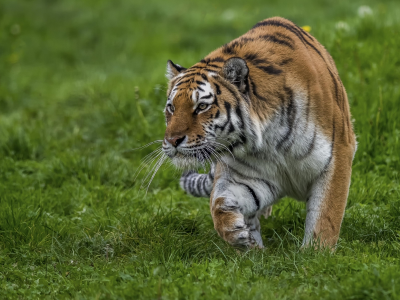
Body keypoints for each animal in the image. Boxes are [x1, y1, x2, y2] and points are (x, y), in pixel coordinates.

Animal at [162, 16, 356, 248]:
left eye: (201, 106)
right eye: (171, 108)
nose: (172, 140)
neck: (268, 140)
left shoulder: (337, 154)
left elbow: (325, 216)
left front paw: (316, 253)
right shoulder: (246, 176)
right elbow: (218, 203)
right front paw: (237, 233)